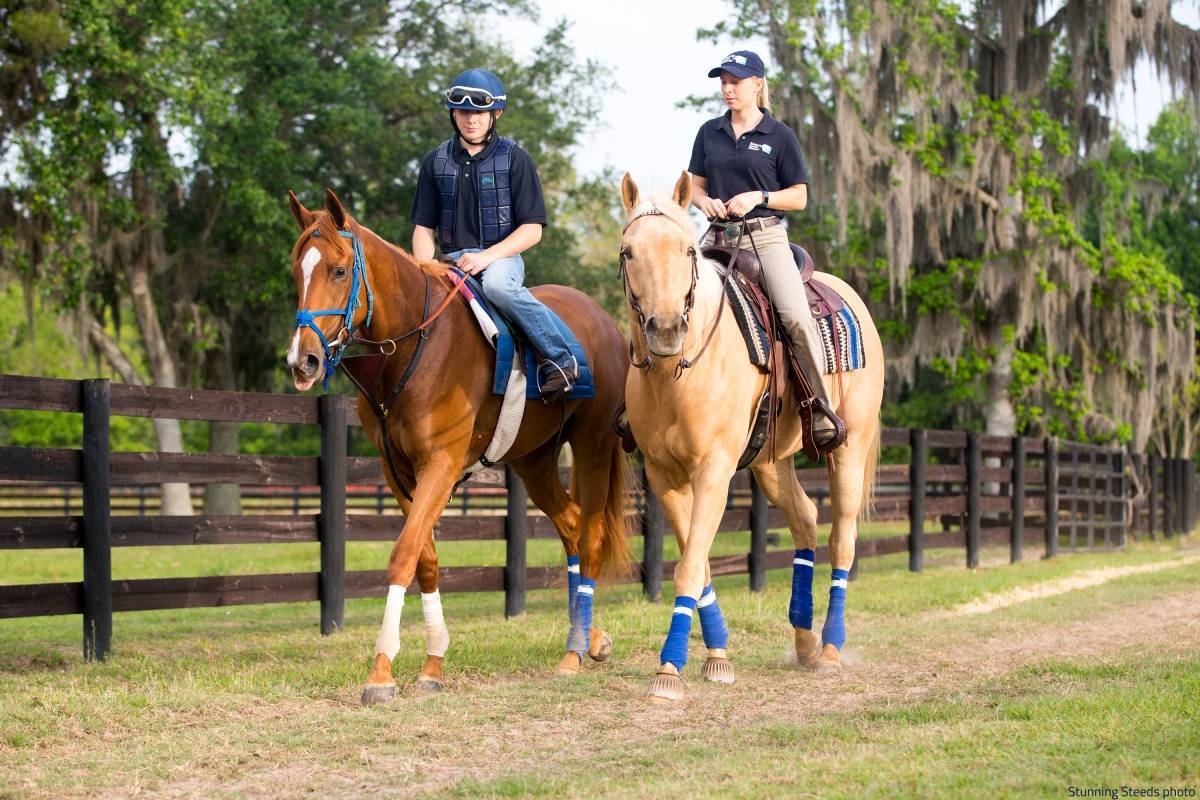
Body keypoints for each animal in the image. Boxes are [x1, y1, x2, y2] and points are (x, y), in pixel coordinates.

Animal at [285, 190, 633, 705]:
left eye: (339, 270)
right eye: (297, 270)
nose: (302, 360)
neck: (415, 347)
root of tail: (604, 321)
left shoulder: (442, 464)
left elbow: (403, 555)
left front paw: (381, 671)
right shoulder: (398, 472)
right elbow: (425, 559)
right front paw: (432, 663)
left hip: (593, 445)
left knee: (589, 535)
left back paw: (573, 653)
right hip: (533, 461)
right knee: (571, 526)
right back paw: (585, 638)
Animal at [619, 173, 883, 700]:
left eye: (686, 251)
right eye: (628, 252)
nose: (665, 329)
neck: (675, 376)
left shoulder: (714, 472)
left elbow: (690, 565)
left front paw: (669, 669)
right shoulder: (664, 476)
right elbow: (696, 562)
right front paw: (717, 655)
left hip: (850, 450)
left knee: (842, 538)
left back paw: (829, 649)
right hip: (770, 462)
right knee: (805, 521)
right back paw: (803, 641)